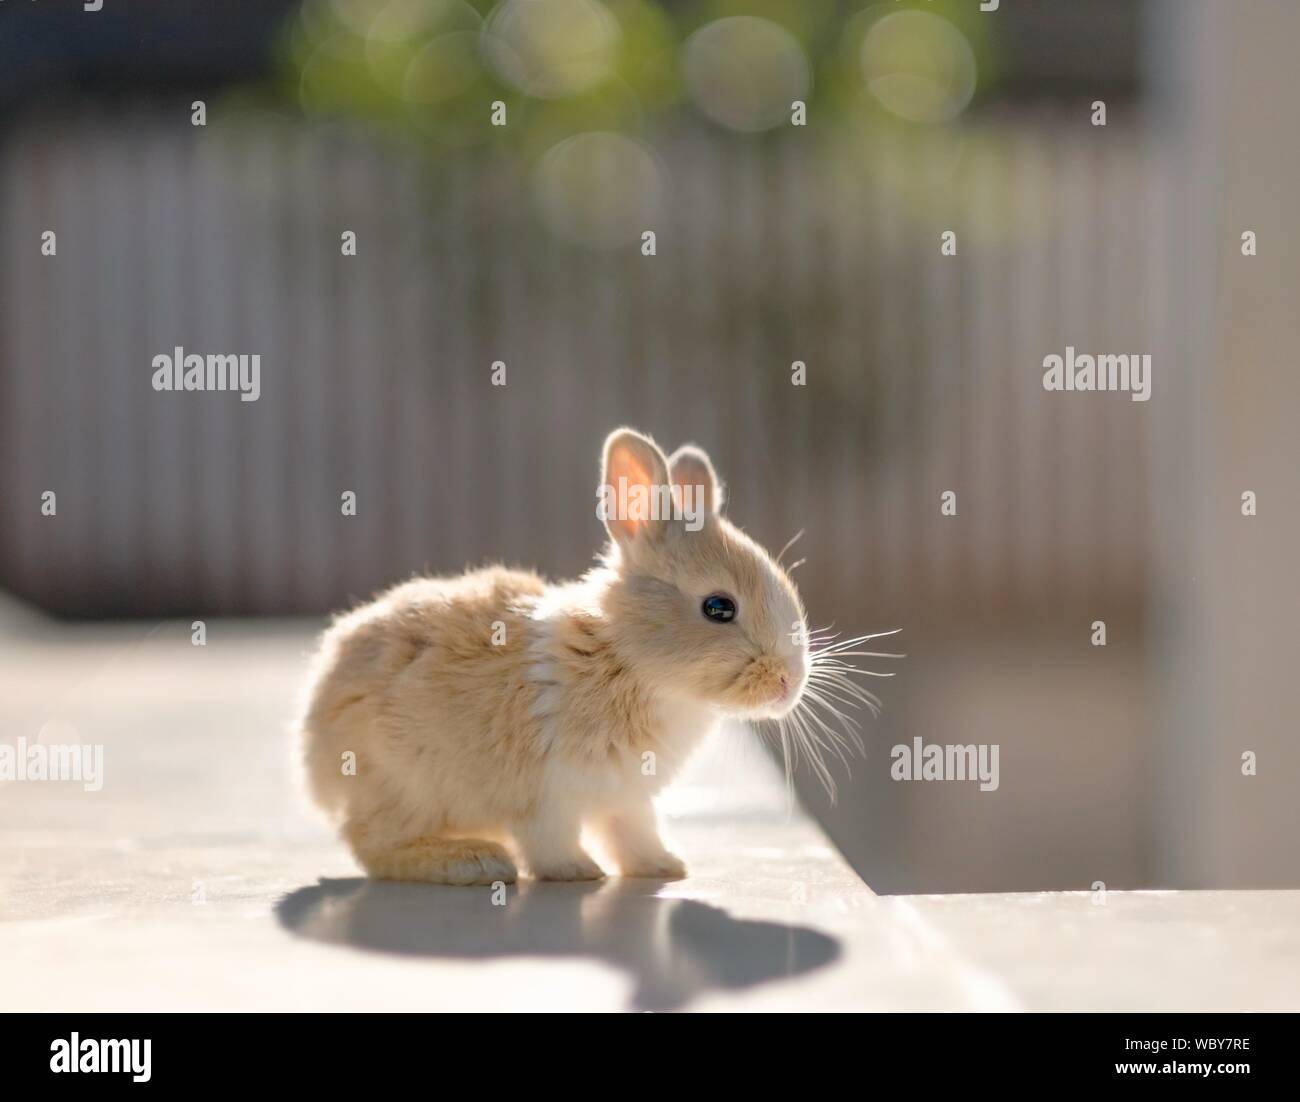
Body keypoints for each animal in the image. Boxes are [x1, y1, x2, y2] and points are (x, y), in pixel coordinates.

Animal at [297, 427, 873, 886]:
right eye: (718, 607)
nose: (790, 681)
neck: (631, 660)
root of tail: (314, 749)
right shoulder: (548, 794)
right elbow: (549, 841)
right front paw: (577, 872)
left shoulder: (626, 796)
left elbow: (632, 832)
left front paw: (665, 867)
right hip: (404, 783)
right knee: (370, 842)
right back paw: (471, 861)